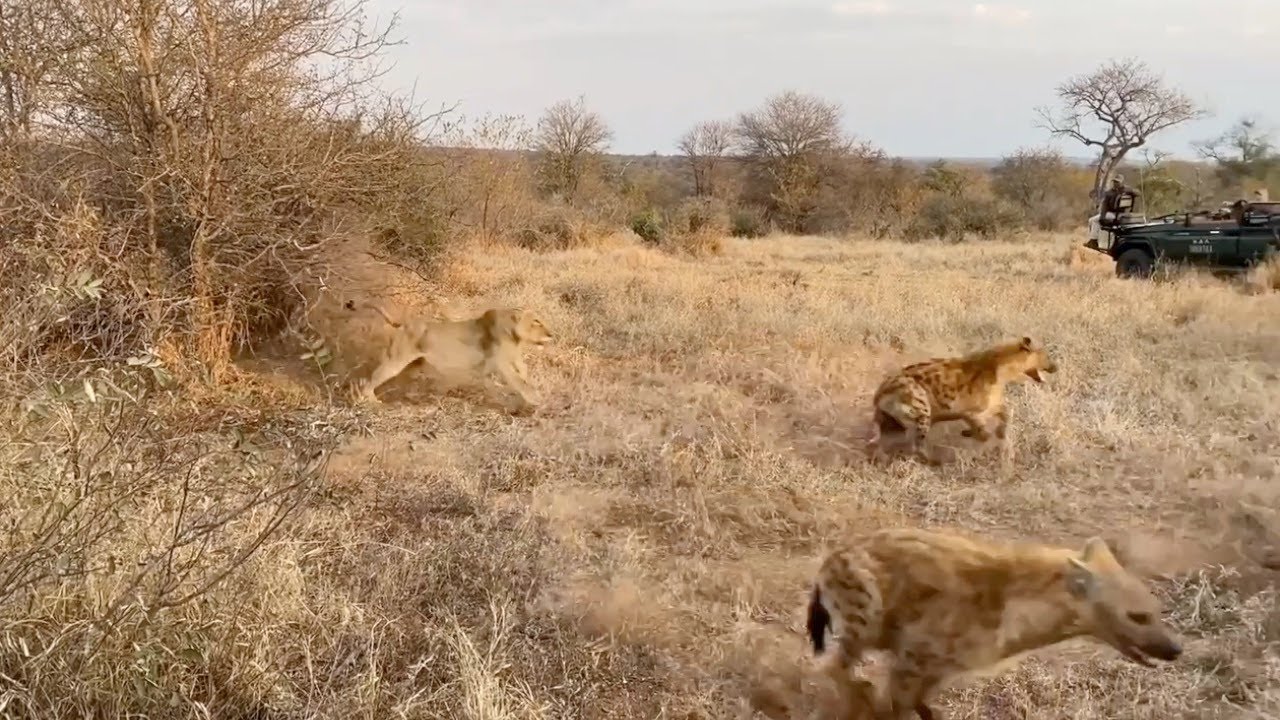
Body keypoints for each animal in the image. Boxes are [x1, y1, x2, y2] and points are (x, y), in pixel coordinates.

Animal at [343, 300, 553, 411]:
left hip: (412, 365)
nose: (551, 334)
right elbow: (519, 382)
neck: (515, 336)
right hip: (396, 360)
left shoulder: (511, 359)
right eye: (536, 321)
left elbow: (523, 373)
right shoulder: (501, 363)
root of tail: (405, 322)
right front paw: (535, 400)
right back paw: (370, 402)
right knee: (367, 380)